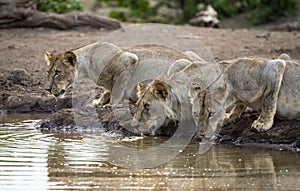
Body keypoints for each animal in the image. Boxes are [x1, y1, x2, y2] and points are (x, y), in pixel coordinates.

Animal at [44, 41, 203, 106]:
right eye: (49, 72)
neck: (87, 68)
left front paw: (110, 106)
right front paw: (97, 103)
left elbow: (117, 89)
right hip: (190, 52)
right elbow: (107, 91)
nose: (47, 89)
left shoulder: (128, 59)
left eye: (57, 72)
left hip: (179, 65)